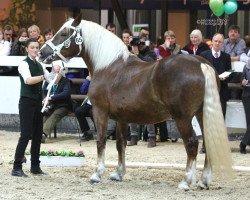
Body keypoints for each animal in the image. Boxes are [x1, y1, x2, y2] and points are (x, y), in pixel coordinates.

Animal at [39, 14, 232, 190]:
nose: (42, 52)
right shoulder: (121, 118)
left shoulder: (100, 111)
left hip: (182, 118)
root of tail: (200, 64)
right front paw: (118, 173)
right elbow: (120, 144)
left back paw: (186, 182)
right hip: (201, 114)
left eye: (64, 33)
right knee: (208, 142)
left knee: (192, 143)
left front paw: (97, 174)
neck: (108, 66)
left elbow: (101, 140)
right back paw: (204, 181)